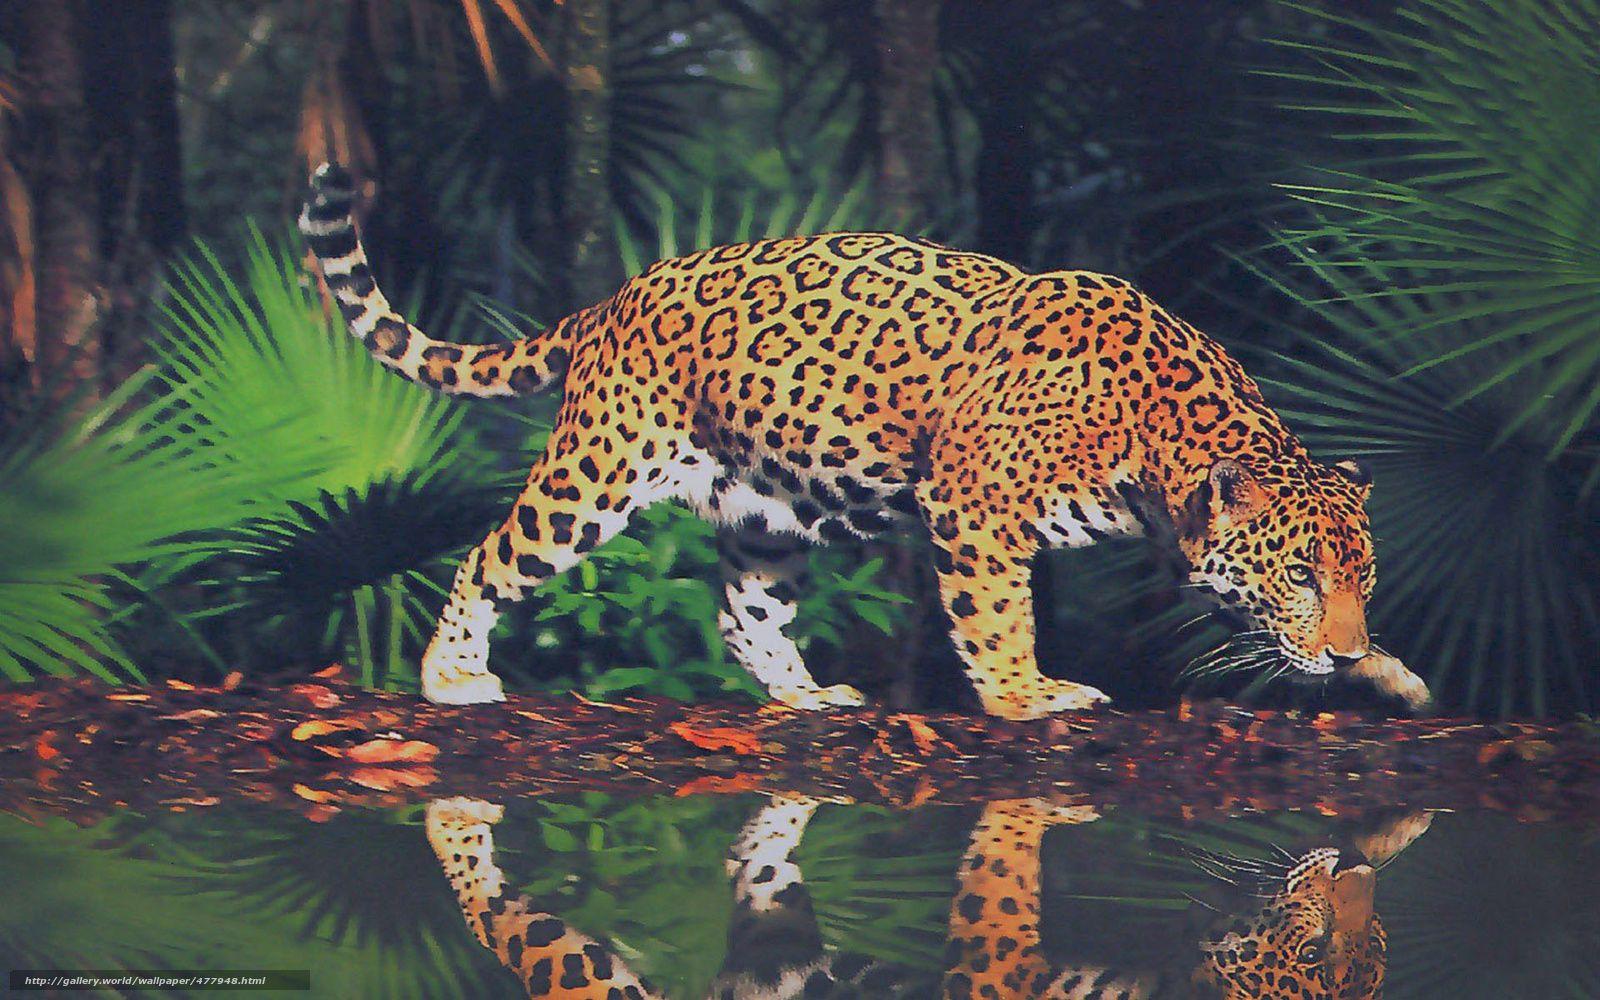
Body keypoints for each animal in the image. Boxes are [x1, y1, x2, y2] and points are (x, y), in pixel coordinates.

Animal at [298, 162, 1430, 720]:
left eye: (1360, 578)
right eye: (1298, 573)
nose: (1347, 645)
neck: (1156, 445)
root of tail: (613, 299)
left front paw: (1385, 673)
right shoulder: (976, 509)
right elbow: (999, 617)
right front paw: (1026, 695)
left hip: (766, 511)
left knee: (742, 615)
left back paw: (806, 697)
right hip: (598, 472)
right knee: (489, 557)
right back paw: (449, 674)